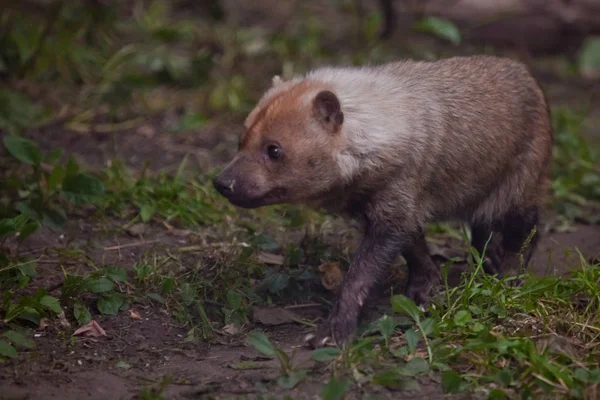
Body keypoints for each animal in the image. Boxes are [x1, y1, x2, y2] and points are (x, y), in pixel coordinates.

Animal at [212, 55, 552, 346]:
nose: (221, 183)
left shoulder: (395, 208)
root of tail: (527, 75)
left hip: (520, 187)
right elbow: (416, 252)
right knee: (483, 231)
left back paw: (511, 276)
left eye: (274, 150)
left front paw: (333, 331)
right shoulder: (392, 211)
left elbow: (359, 275)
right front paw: (423, 289)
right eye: (241, 139)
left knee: (528, 229)